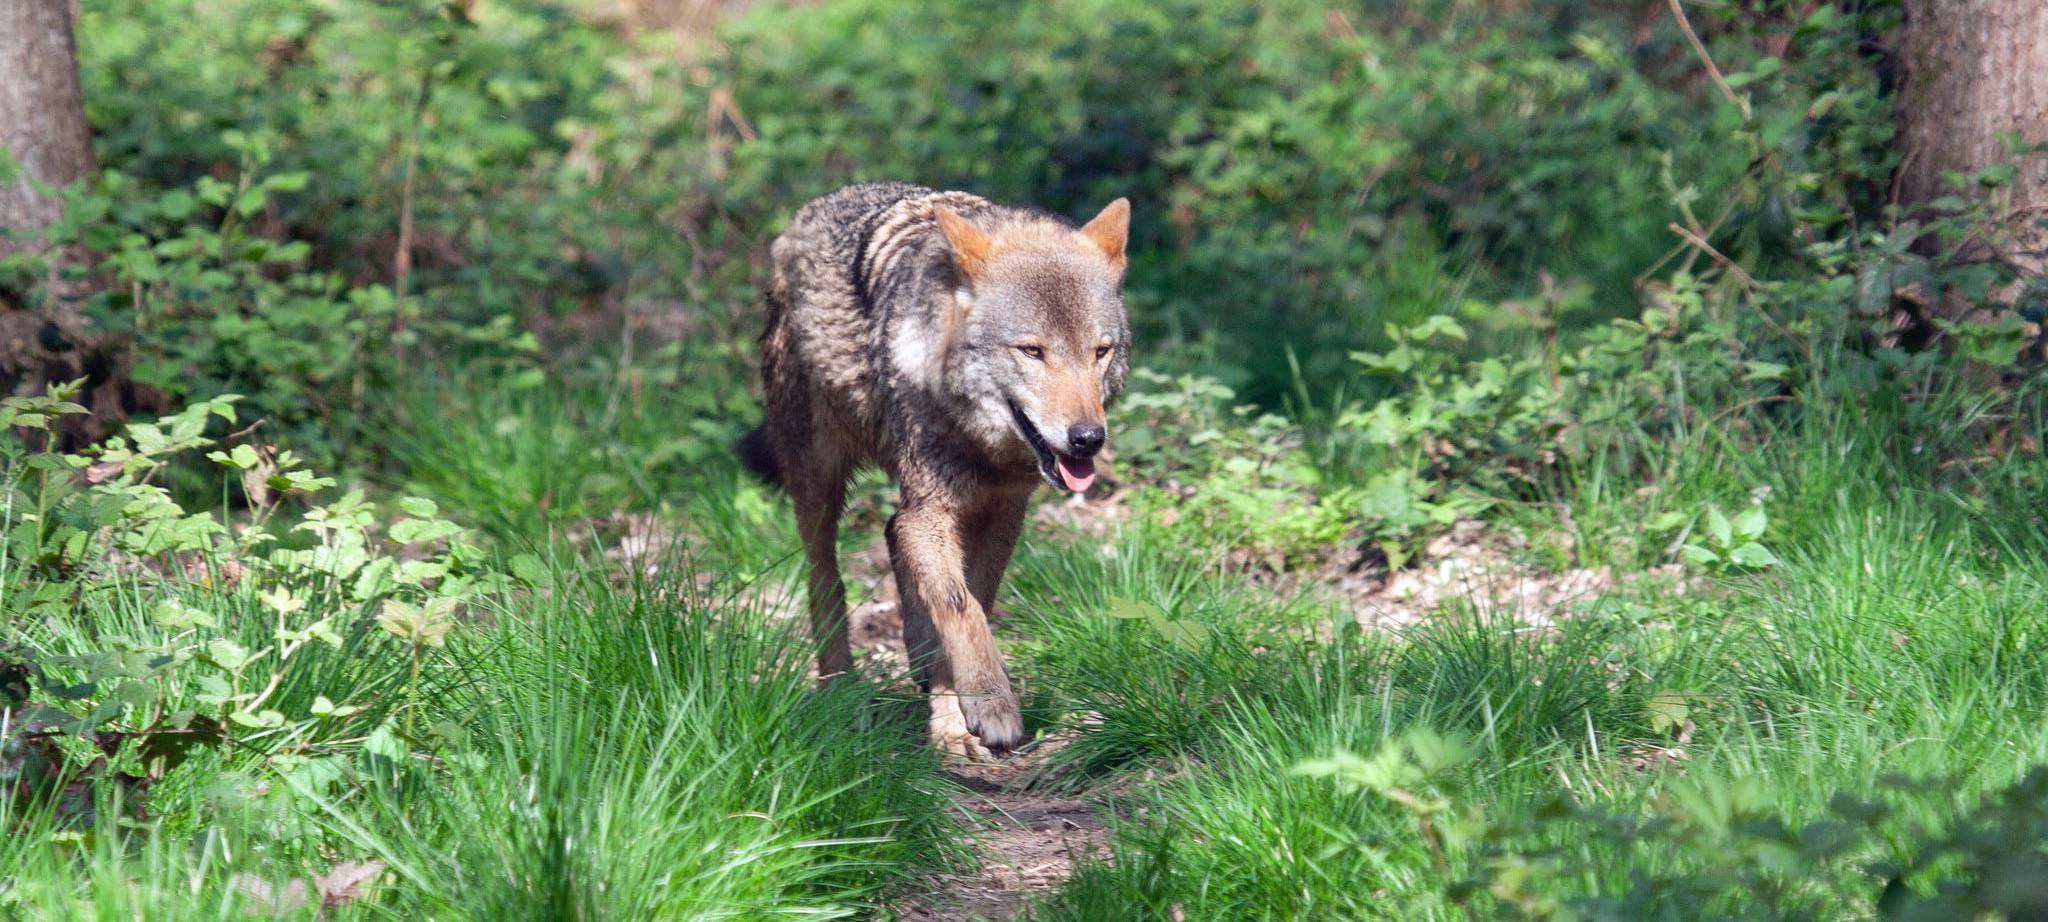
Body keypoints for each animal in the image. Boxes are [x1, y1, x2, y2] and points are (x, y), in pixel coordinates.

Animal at [738, 182, 1131, 753]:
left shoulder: (1005, 511)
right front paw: (989, 705)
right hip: (820, 482)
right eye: (1031, 351)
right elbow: (959, 604)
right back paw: (840, 687)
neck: (980, 446)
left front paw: (951, 715)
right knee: (824, 579)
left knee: (891, 535)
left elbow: (974, 599)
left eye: (1100, 351)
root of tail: (809, 212)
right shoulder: (931, 510)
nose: (1087, 439)